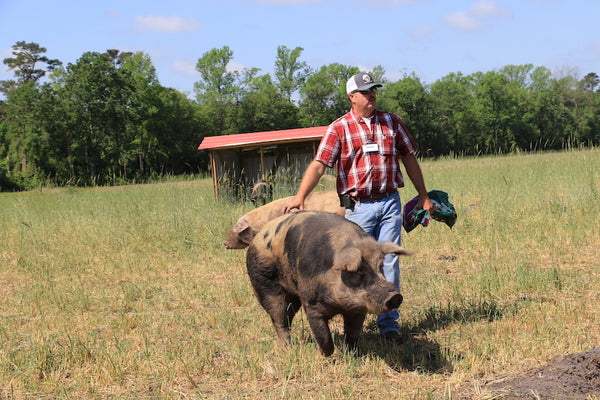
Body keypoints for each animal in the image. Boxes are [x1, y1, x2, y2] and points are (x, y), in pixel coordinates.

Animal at [245, 211, 412, 354]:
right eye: (358, 270)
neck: (339, 305)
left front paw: (352, 353)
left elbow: (353, 334)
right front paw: (326, 354)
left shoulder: (358, 308)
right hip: (265, 284)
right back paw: (287, 349)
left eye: (381, 267)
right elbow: (323, 335)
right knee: (279, 319)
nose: (395, 295)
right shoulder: (311, 303)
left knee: (287, 317)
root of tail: (256, 236)